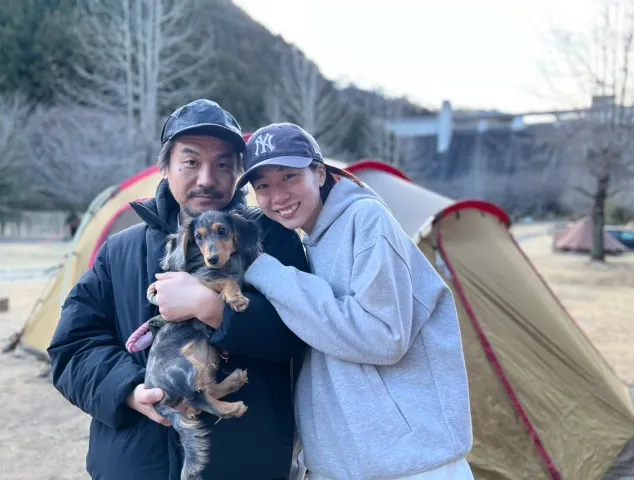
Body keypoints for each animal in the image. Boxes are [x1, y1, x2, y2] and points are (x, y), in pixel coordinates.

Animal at [125, 209, 261, 480]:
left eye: (223, 231)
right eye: (198, 237)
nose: (212, 258)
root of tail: (159, 402)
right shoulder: (202, 277)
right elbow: (225, 280)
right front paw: (237, 299)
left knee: (203, 393)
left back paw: (234, 381)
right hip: (184, 368)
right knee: (198, 398)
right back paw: (232, 408)